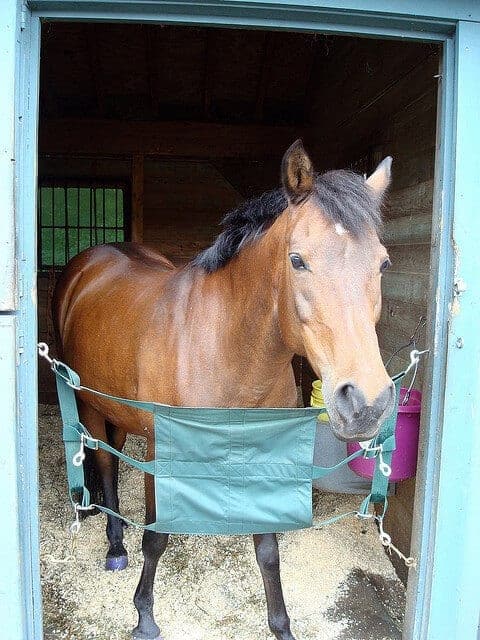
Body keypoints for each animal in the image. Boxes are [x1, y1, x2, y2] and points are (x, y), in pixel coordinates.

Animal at [54, 141, 396, 640]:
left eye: (383, 262)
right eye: (297, 259)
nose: (366, 403)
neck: (225, 347)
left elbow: (268, 549)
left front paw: (281, 626)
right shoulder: (164, 454)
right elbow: (156, 537)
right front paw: (144, 617)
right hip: (88, 403)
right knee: (103, 463)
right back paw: (114, 546)